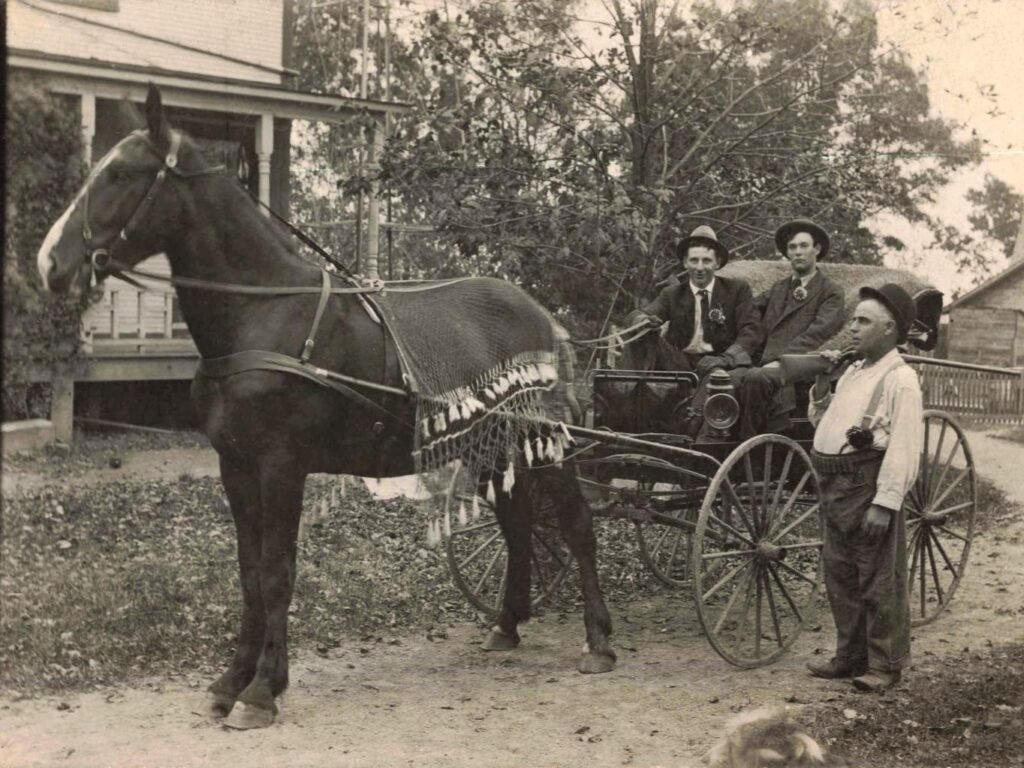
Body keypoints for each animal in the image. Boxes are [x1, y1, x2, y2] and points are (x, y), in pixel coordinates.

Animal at [36, 83, 615, 729]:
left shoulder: (282, 466)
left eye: (122, 174)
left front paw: (261, 690)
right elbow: (249, 573)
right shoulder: (236, 467)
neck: (263, 313)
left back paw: (597, 639)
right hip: (492, 446)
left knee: (575, 525)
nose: (49, 264)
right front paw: (234, 680)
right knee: (517, 524)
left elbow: (276, 572)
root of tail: (543, 317)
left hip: (544, 443)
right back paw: (507, 624)